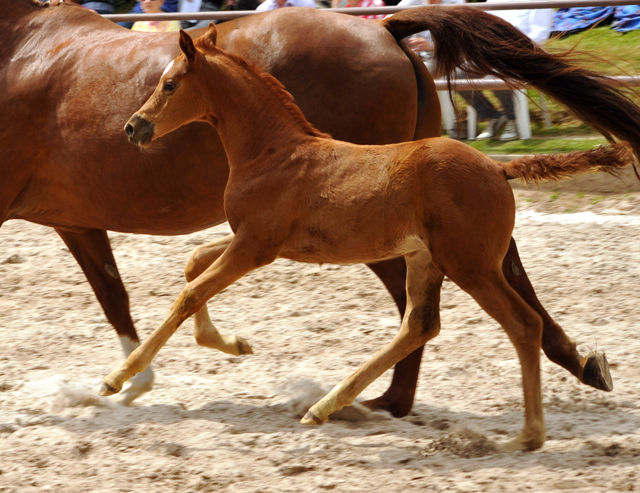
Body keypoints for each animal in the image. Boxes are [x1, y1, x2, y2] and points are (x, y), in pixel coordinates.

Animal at [105, 26, 632, 450]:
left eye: (169, 83)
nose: (133, 127)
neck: (273, 151)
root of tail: (499, 170)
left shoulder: (255, 246)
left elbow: (191, 291)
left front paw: (117, 379)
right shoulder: (256, 241)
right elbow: (194, 262)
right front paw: (233, 343)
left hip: (469, 265)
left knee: (522, 325)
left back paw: (527, 436)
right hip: (426, 260)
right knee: (420, 326)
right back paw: (325, 407)